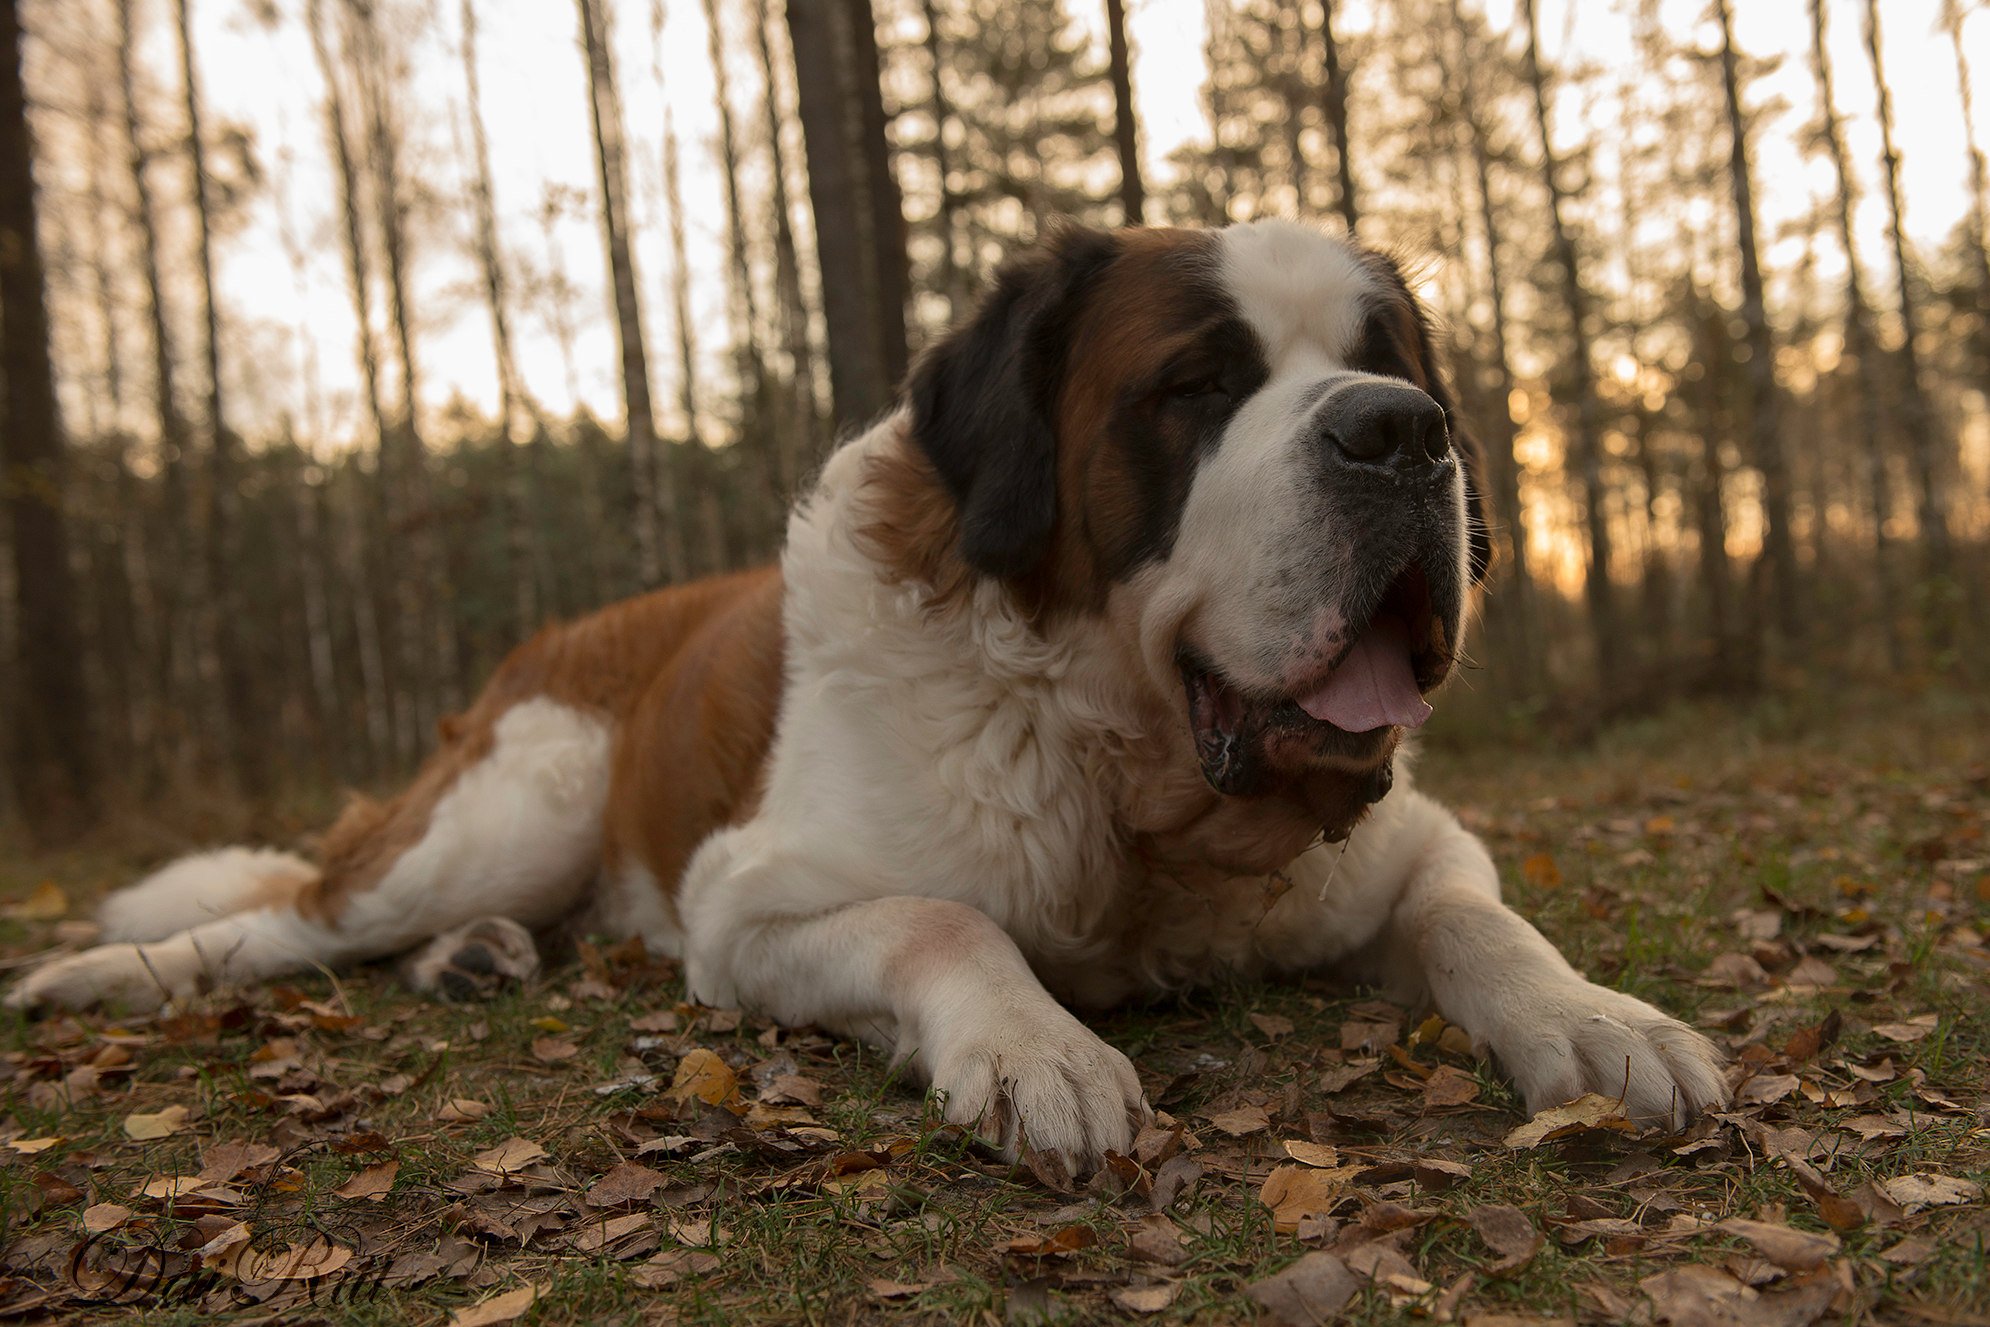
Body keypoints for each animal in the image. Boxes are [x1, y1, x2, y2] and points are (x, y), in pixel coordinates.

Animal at [3, 222, 1727, 1169]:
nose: (1398, 433)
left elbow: (1476, 917)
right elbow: (942, 917)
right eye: (1196, 387)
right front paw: (1040, 1053)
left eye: (1400, 368)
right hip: (508, 804)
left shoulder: (1412, 840)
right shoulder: (748, 904)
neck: (1134, 788)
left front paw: (1601, 1020)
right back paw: (108, 975)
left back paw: (478, 959)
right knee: (289, 916)